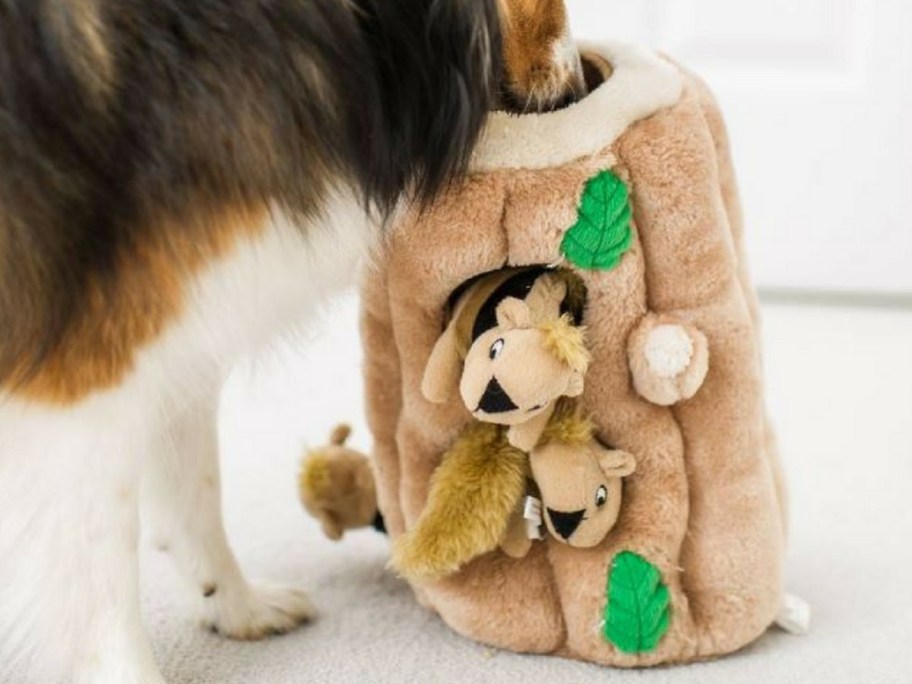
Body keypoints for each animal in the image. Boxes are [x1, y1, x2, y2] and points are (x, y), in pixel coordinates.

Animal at [0, 1, 584, 684]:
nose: (576, 88)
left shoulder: (171, 311)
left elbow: (194, 481)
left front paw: (235, 602)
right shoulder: (81, 379)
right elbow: (97, 573)